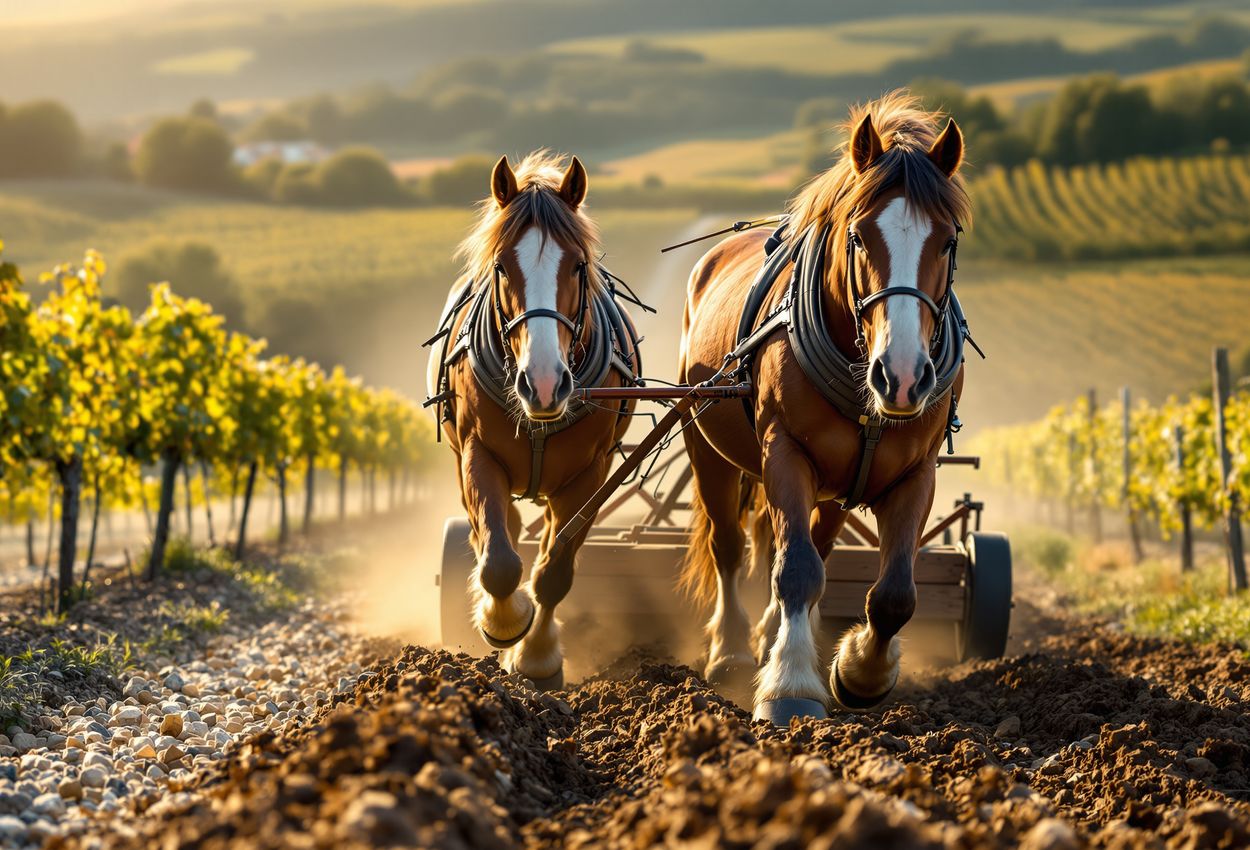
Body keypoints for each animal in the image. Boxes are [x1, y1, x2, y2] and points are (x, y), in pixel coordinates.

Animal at [426, 151, 640, 689]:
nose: (543, 384)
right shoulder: (478, 454)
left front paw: (538, 659)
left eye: (578, 266)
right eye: (502, 267)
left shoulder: (590, 473)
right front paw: (504, 623)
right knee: (495, 533)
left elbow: (554, 572)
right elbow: (499, 563)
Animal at [678, 92, 973, 724]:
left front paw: (859, 672)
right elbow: (795, 570)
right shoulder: (784, 450)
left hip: (839, 482)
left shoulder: (917, 472)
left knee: (813, 539)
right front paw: (789, 684)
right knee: (731, 546)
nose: (903, 377)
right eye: (859, 237)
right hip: (707, 445)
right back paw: (733, 651)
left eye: (947, 240)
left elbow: (893, 593)